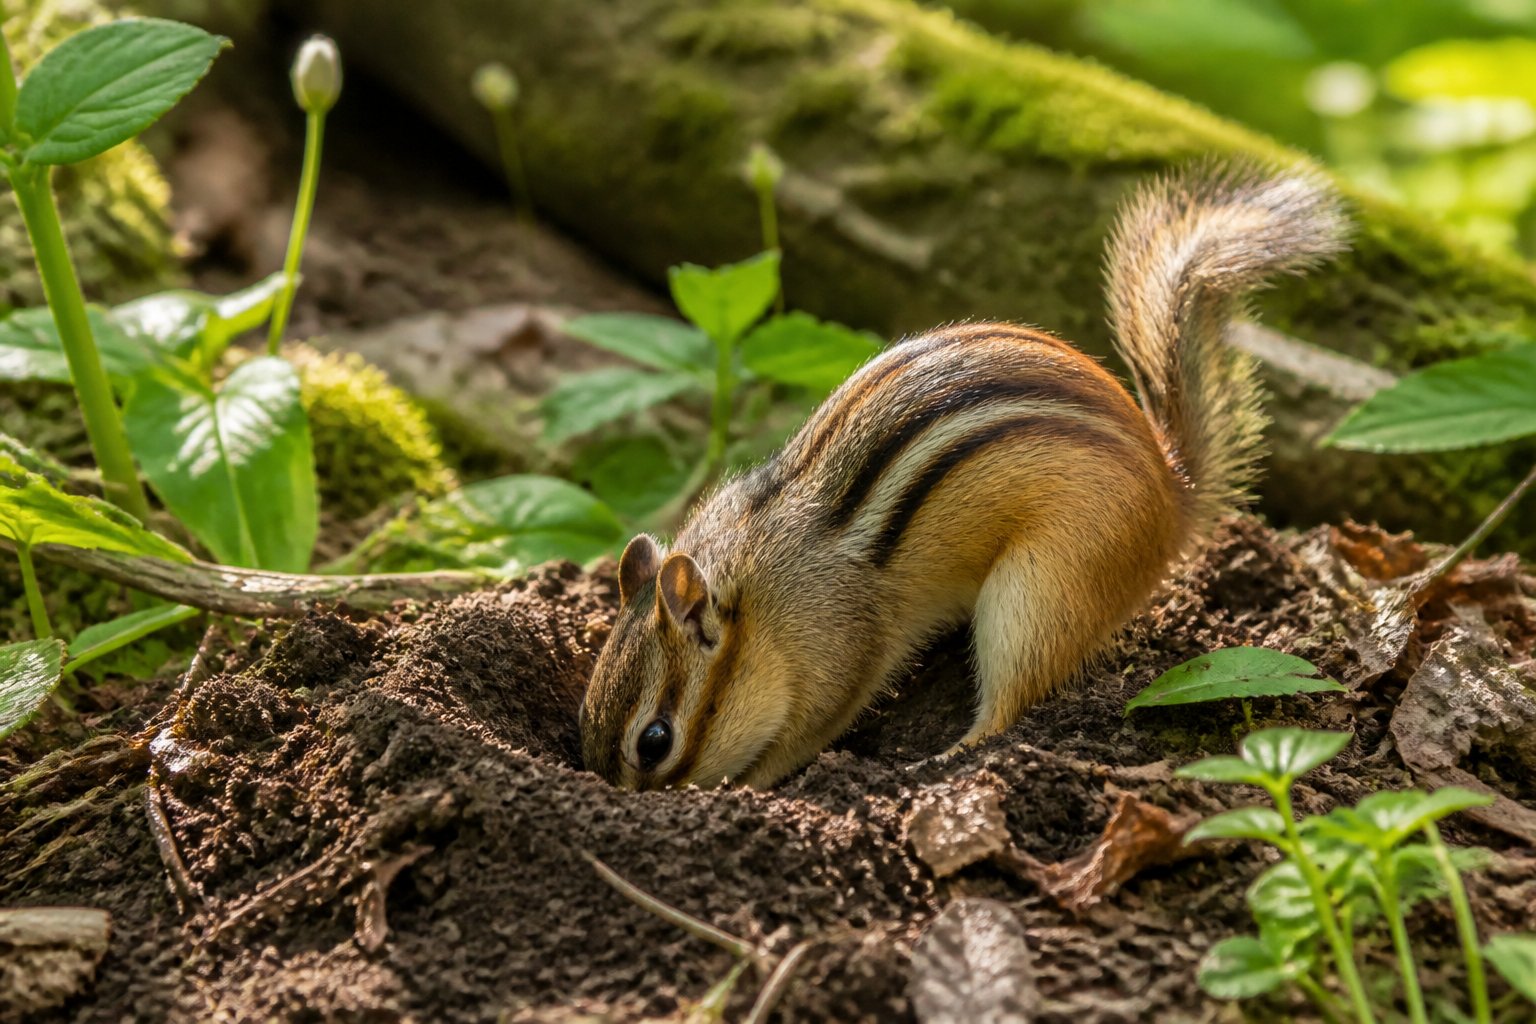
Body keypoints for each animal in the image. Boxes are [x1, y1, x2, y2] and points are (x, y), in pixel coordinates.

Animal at [580, 164, 1346, 791]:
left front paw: (747, 786)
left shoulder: (838, 656)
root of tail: (1172, 495)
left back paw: (946, 757)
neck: (753, 597)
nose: (628, 800)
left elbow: (810, 731)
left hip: (1041, 589)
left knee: (1012, 700)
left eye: (654, 742)